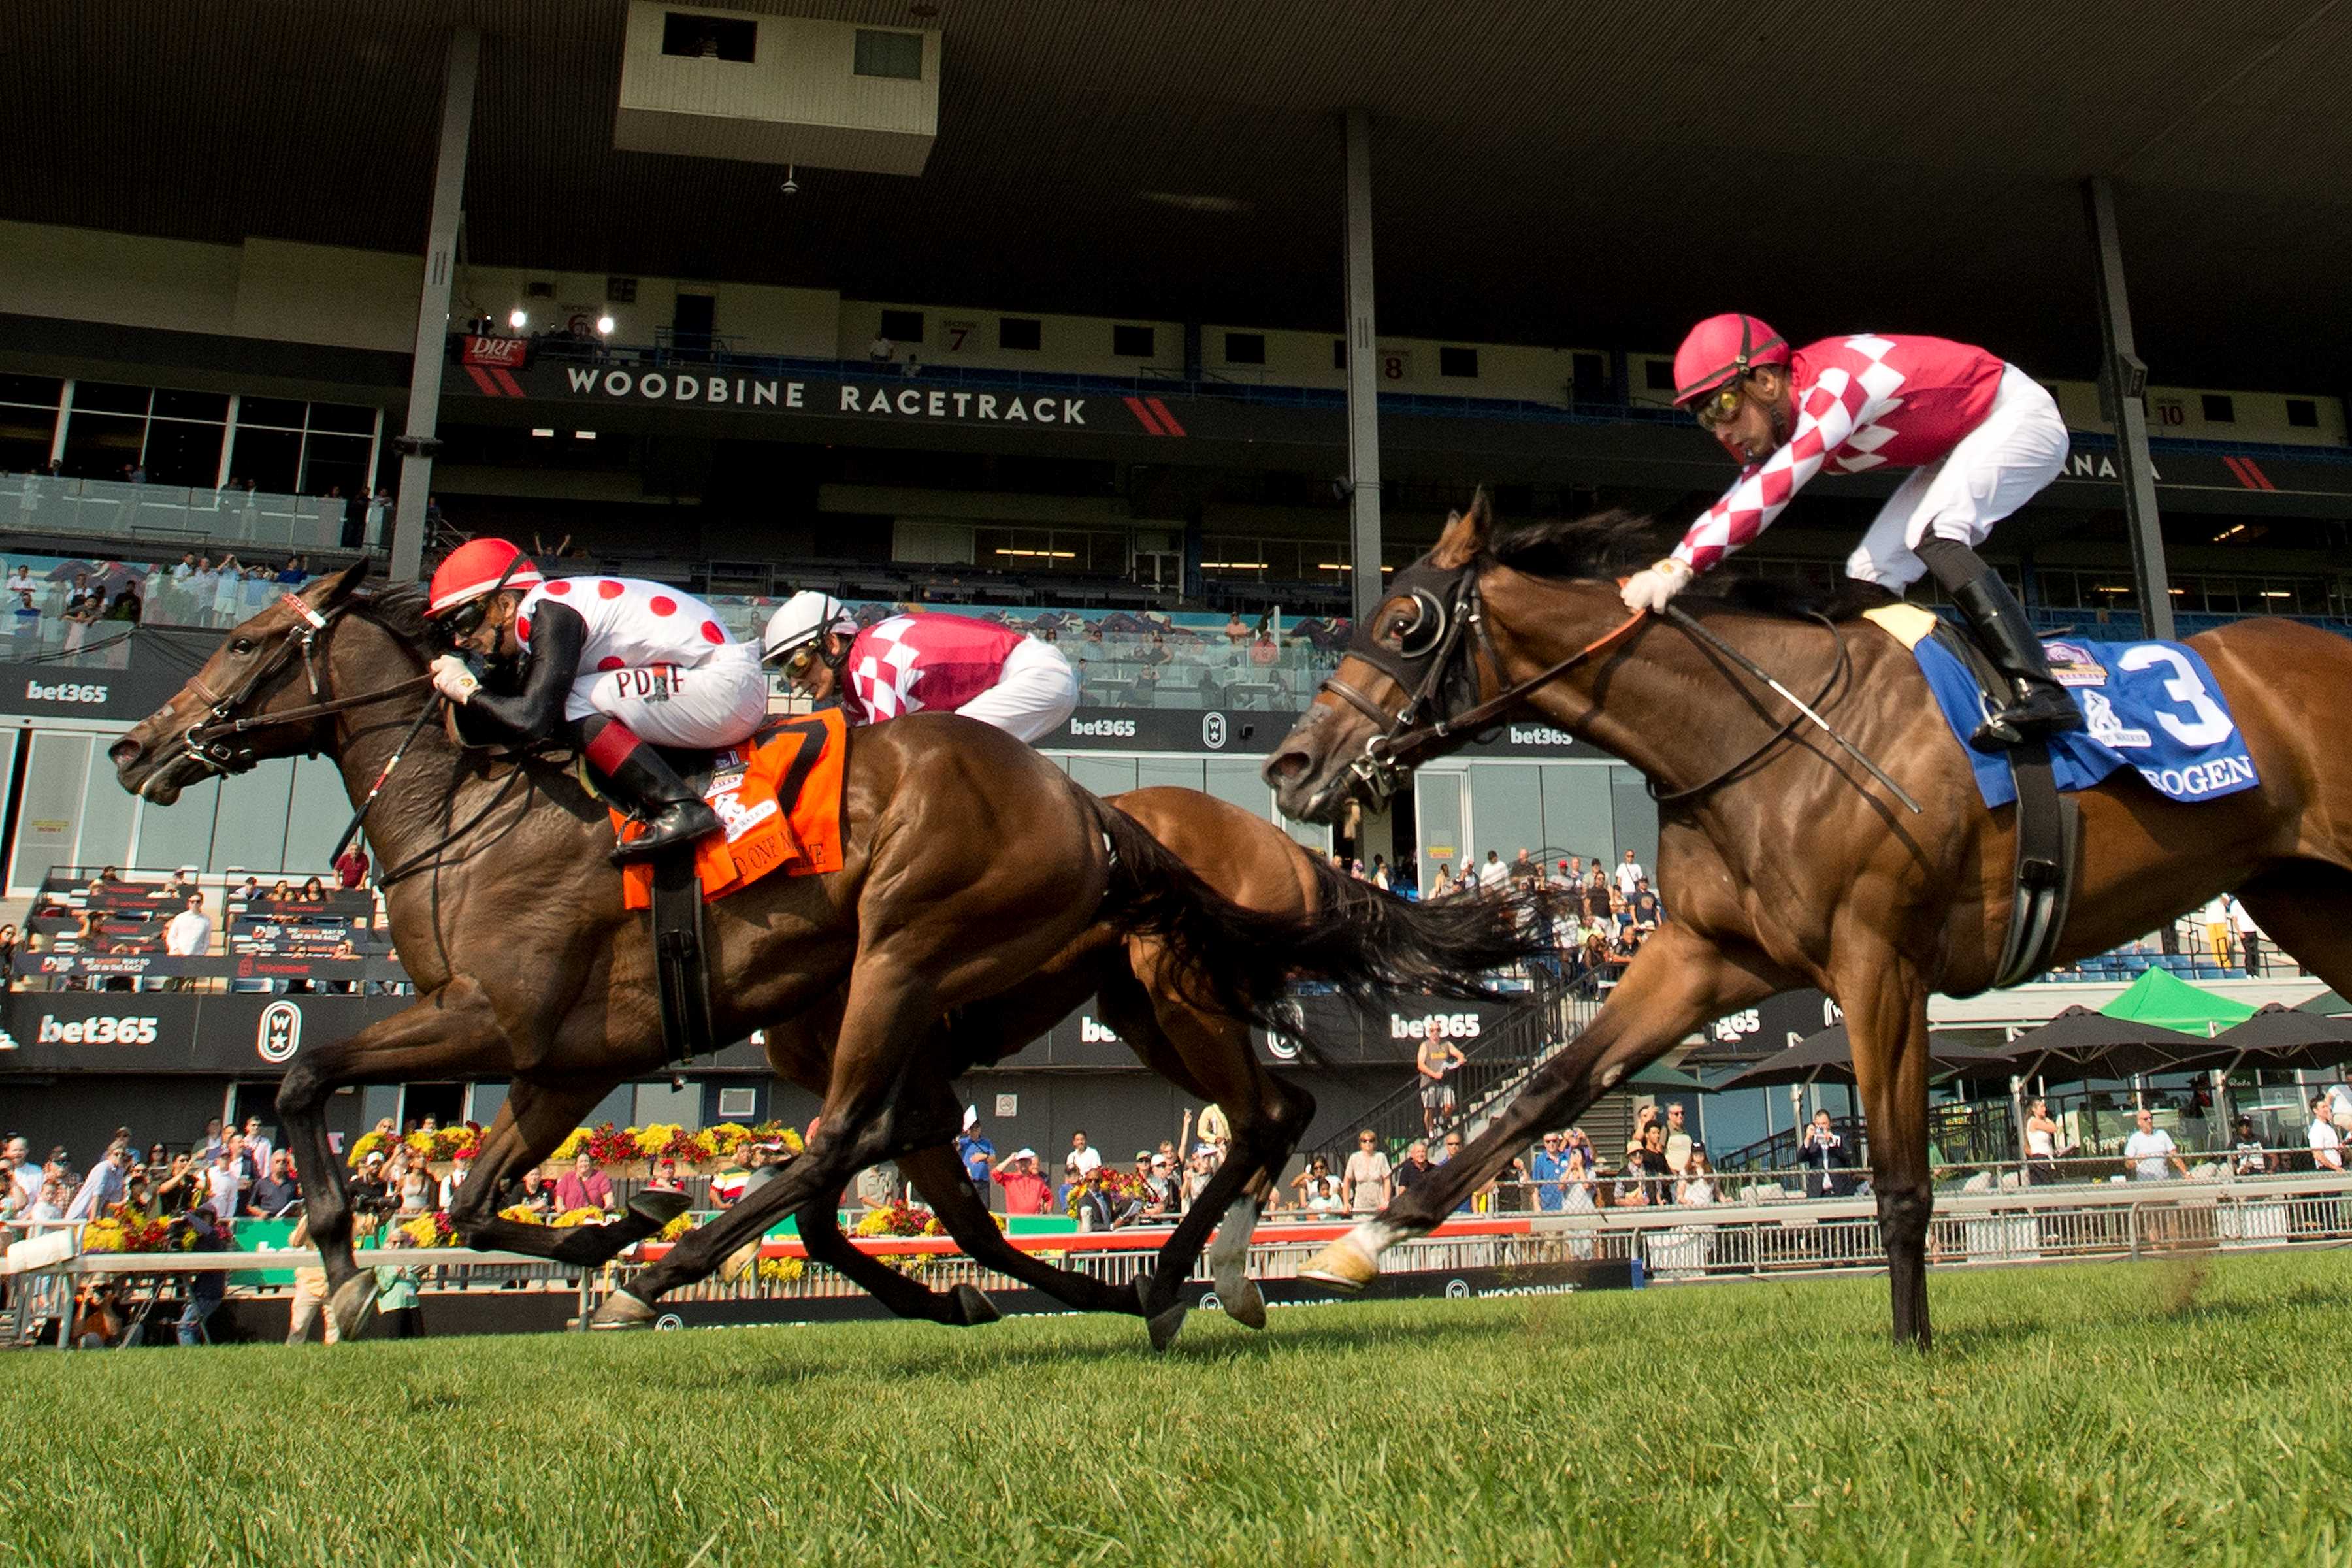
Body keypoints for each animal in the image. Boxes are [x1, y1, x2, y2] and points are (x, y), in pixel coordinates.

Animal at [119, 571, 1533, 1345]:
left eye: (245, 642)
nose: (134, 747)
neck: (481, 808)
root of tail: (1099, 815)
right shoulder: (564, 1060)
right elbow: (464, 1196)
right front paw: (606, 1220)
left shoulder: (499, 1019)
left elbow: (308, 1082)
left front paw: (357, 1269)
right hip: (1133, 1001)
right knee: (1259, 1114)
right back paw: (1176, 1287)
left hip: (925, 952)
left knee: (845, 1142)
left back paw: (670, 1275)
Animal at [1270, 493, 2352, 1354]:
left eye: (1404, 620)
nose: (1292, 765)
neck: (1752, 735)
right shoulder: (1704, 957)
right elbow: (1548, 1090)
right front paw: (1357, 1245)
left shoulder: (1879, 964)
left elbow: (1902, 1177)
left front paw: (1912, 1346)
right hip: (2303, 897)